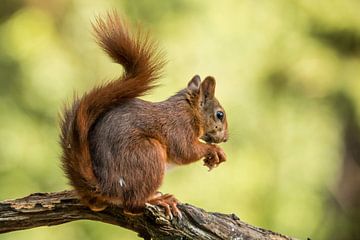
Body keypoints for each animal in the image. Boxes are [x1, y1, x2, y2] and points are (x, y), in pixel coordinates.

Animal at [59, 11, 228, 218]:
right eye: (220, 115)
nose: (226, 138)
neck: (189, 110)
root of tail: (106, 186)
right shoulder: (179, 127)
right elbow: (185, 151)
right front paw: (215, 151)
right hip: (148, 153)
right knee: (132, 205)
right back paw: (158, 200)